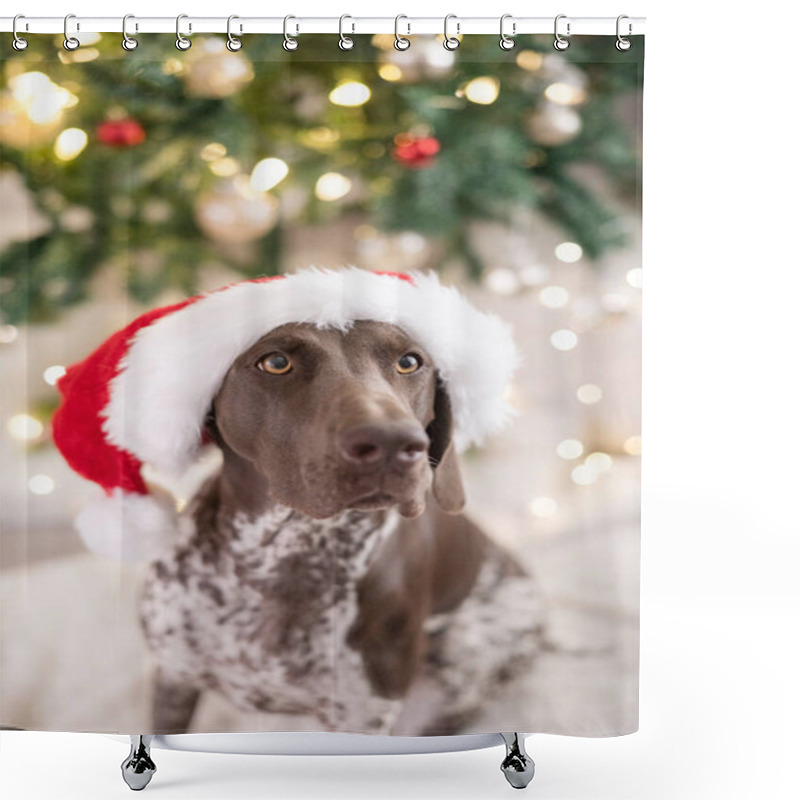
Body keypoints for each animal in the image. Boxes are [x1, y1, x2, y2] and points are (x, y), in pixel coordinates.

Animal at [139, 316, 552, 736]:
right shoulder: (174, 678)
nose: (392, 442)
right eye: (275, 362)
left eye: (409, 362)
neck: (284, 552)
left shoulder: (364, 716)